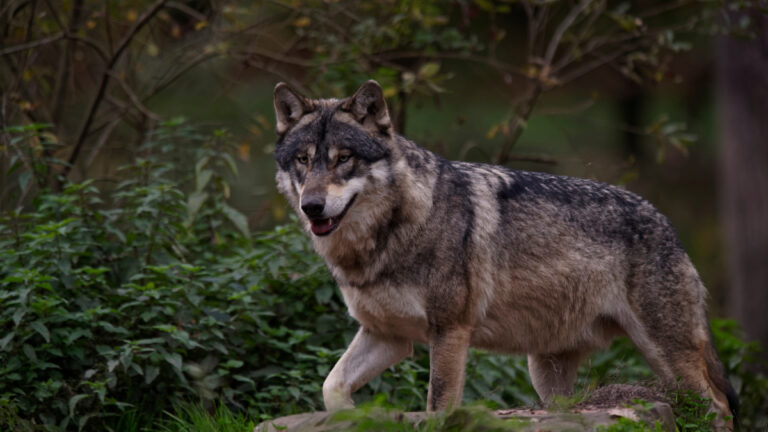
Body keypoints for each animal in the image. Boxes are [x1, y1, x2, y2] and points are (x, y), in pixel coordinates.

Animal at [272, 80, 738, 429]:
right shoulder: (387, 335)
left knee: (717, 405)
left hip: (667, 355)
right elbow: (331, 387)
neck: (392, 231)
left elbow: (438, 406)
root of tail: (667, 223)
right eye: (303, 160)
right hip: (546, 375)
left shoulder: (450, 331)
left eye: (344, 159)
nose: (312, 207)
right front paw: (350, 416)